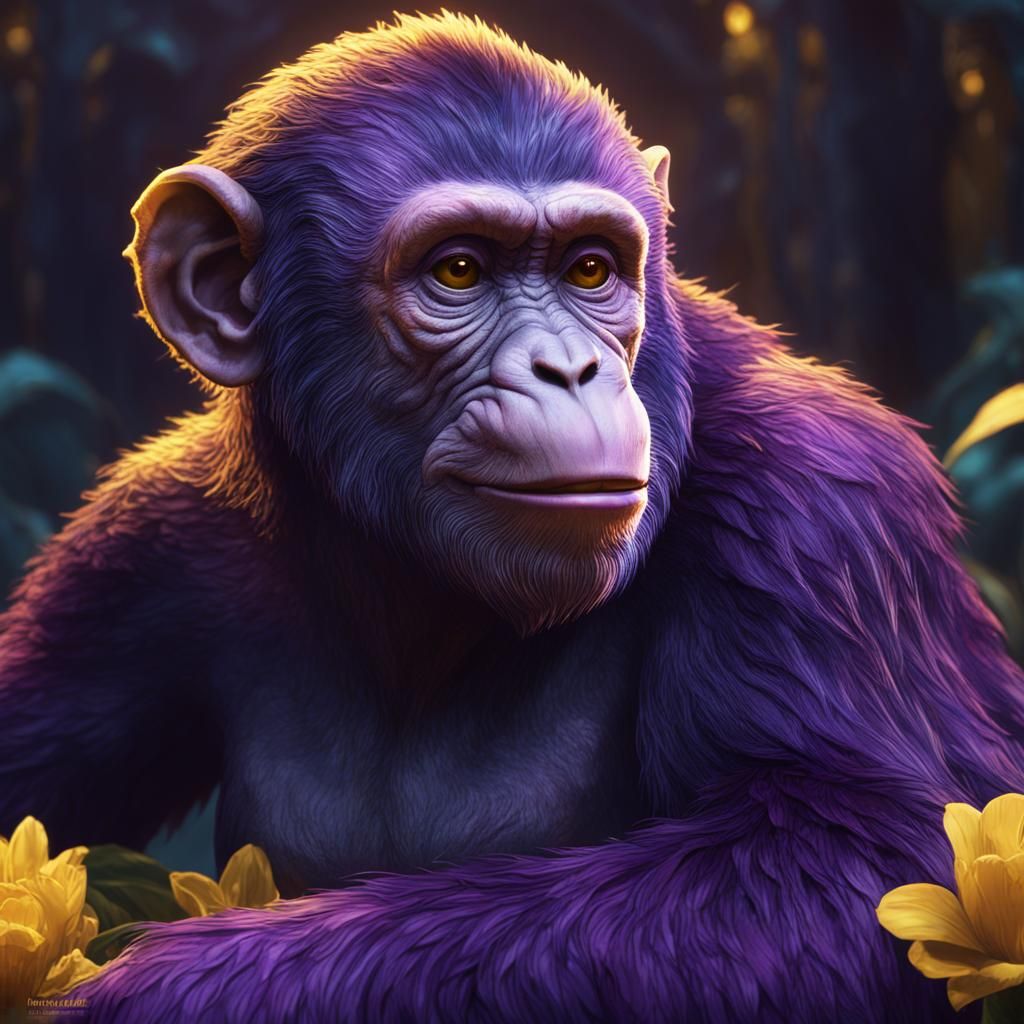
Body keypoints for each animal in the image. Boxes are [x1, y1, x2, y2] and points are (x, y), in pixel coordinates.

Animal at [1, 13, 1020, 1023]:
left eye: (591, 270)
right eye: (459, 270)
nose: (568, 368)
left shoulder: (814, 506)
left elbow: (838, 854)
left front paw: (161, 991)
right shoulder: (136, 556)